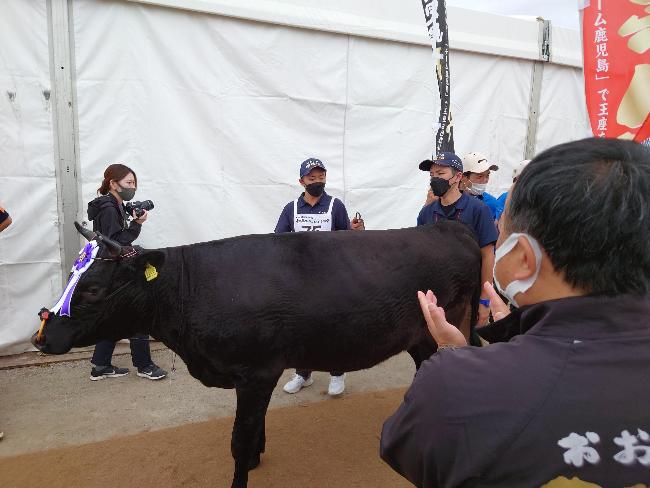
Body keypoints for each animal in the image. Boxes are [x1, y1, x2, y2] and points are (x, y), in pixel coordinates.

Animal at [33, 221, 478, 488]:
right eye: (73, 277)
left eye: (93, 289)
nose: (42, 336)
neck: (188, 288)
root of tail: (447, 226)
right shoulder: (255, 374)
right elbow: (253, 428)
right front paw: (255, 460)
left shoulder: (256, 371)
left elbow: (239, 438)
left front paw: (243, 469)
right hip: (423, 336)